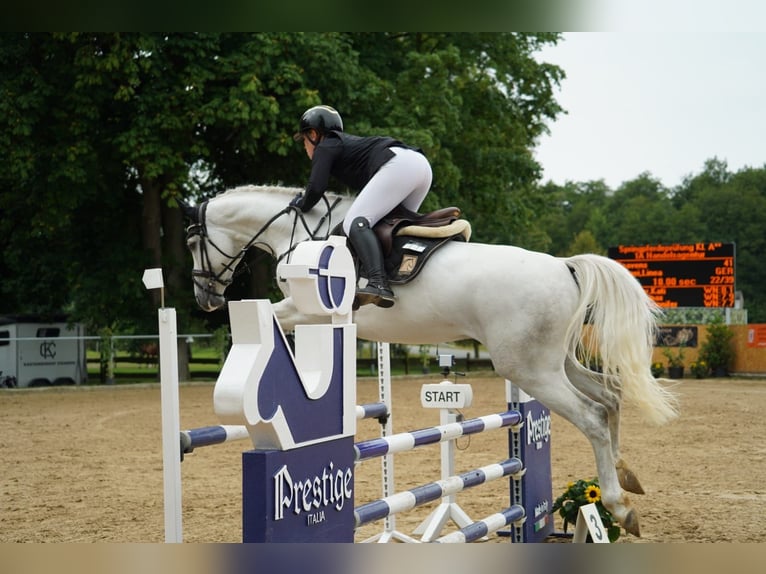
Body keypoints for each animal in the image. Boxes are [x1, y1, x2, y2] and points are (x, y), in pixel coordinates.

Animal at [183, 186, 680, 540]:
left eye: (191, 242)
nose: (205, 299)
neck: (301, 233)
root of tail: (564, 266)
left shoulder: (307, 309)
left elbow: (272, 319)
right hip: (556, 361)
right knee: (610, 395)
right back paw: (627, 477)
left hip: (529, 368)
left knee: (593, 415)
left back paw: (618, 506)